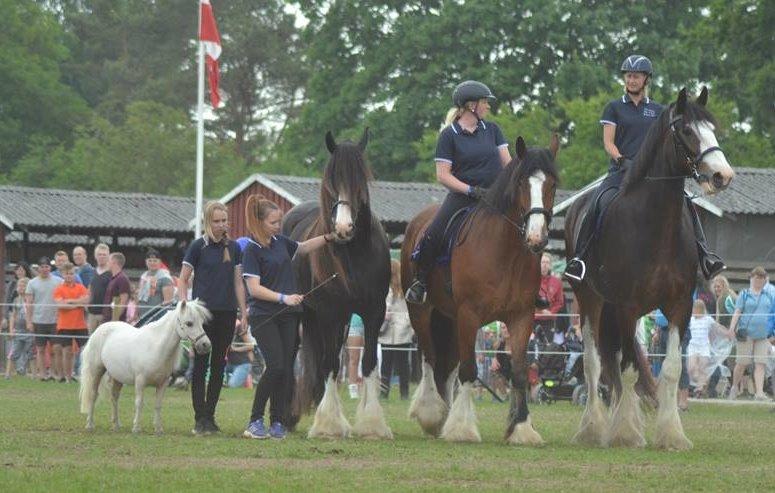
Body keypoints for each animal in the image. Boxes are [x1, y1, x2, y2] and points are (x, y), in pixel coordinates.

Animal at [79, 300, 212, 434]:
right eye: (189, 323)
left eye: (201, 322)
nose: (206, 345)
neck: (155, 347)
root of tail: (98, 330)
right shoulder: (140, 381)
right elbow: (139, 403)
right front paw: (136, 428)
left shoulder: (163, 383)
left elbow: (158, 405)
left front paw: (158, 429)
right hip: (96, 371)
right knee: (93, 395)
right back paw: (89, 424)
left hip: (118, 378)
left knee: (114, 398)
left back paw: (116, 425)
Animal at [284, 128, 394, 438]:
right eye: (332, 183)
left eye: (360, 182)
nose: (344, 228)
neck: (354, 255)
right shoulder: (329, 314)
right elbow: (330, 364)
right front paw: (328, 424)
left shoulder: (373, 312)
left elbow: (368, 363)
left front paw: (371, 424)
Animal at [404, 134, 560, 442]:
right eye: (522, 183)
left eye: (552, 184)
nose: (536, 237)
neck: (505, 252)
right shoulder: (469, 314)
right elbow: (469, 369)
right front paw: (462, 428)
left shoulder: (522, 317)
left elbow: (520, 371)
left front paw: (521, 427)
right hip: (422, 313)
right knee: (430, 358)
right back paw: (433, 415)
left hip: (449, 319)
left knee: (447, 366)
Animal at [564, 88, 732, 450]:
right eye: (687, 130)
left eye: (713, 129)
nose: (722, 176)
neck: (656, 225)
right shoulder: (627, 306)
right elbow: (627, 369)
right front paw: (626, 433)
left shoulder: (680, 306)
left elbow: (669, 369)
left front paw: (672, 435)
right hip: (591, 301)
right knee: (594, 362)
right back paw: (594, 428)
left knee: (612, 363)